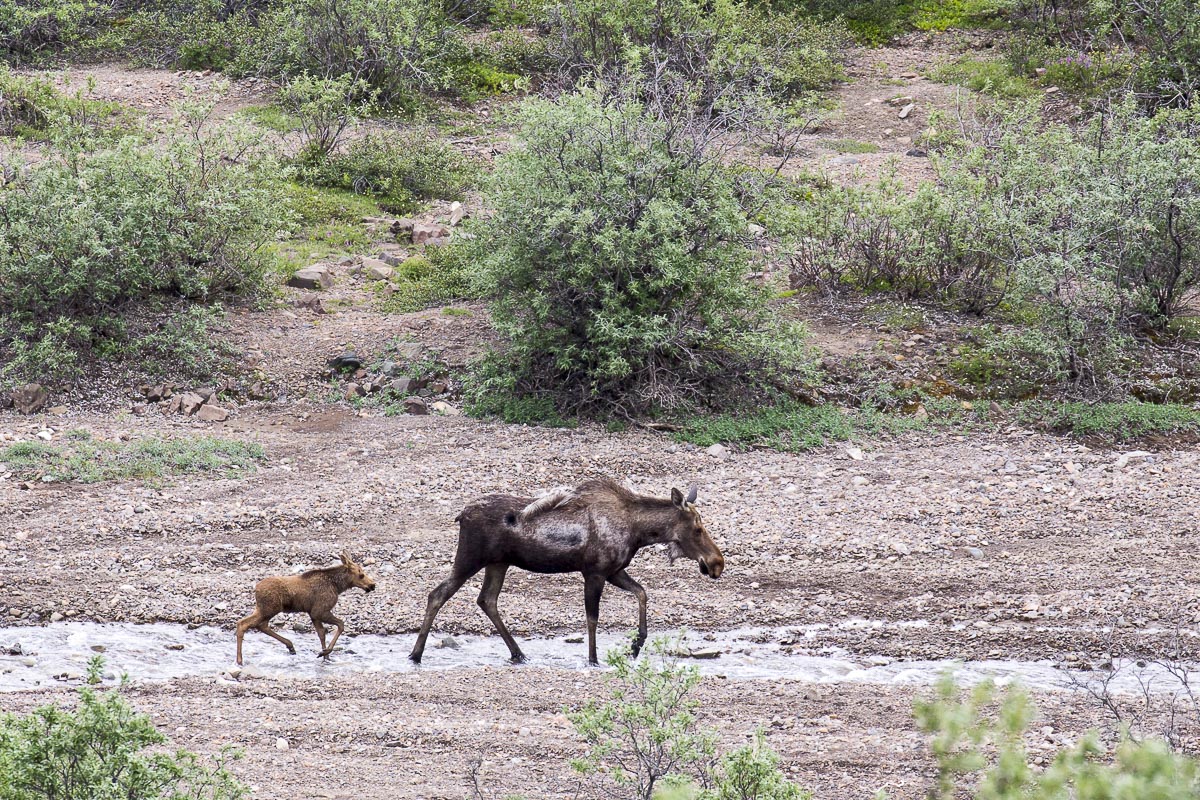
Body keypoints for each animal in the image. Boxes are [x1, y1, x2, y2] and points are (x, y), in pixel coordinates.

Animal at [235, 551, 377, 666]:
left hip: (264, 609)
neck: (337, 586)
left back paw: (290, 646)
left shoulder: (313, 614)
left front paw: (326, 656)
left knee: (260, 625)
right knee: (244, 623)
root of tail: (256, 589)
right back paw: (240, 660)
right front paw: (325, 652)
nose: (373, 585)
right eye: (361, 574)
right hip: (268, 609)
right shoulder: (319, 611)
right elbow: (340, 625)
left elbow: (321, 634)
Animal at [409, 479, 724, 666]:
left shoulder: (613, 571)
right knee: (437, 594)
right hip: (470, 558)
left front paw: (636, 645)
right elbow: (592, 618)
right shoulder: (594, 572)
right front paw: (593, 659)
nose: (717, 562)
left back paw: (518, 653)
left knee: (487, 600)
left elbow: (642, 593)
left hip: (498, 563)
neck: (640, 532)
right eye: (698, 528)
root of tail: (460, 515)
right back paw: (416, 654)